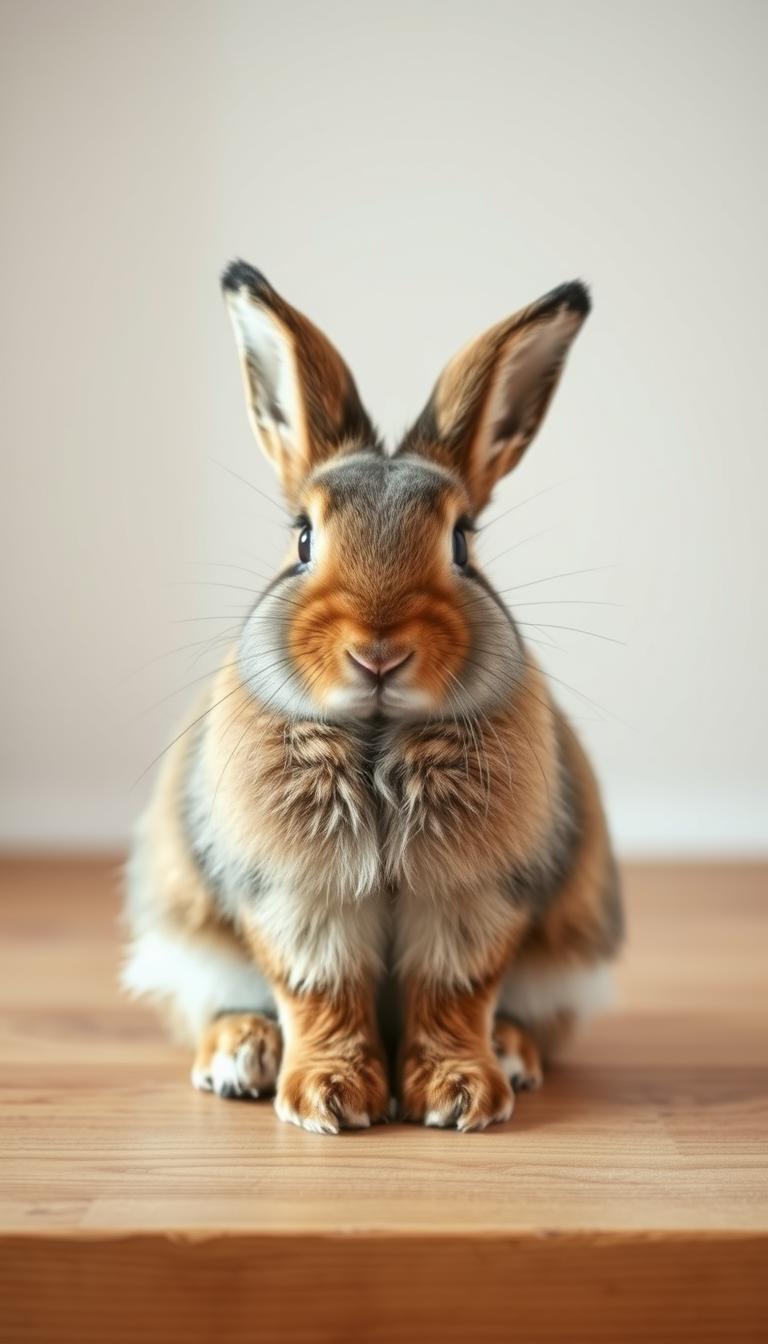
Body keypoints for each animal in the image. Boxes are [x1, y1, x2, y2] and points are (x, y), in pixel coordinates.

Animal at [122, 261, 623, 1133]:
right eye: (301, 538)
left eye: (461, 542)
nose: (379, 649)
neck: (379, 734)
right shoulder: (299, 900)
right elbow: (324, 992)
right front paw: (328, 1100)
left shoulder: (471, 902)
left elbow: (452, 994)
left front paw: (462, 1097)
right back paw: (241, 1056)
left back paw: (513, 1056)